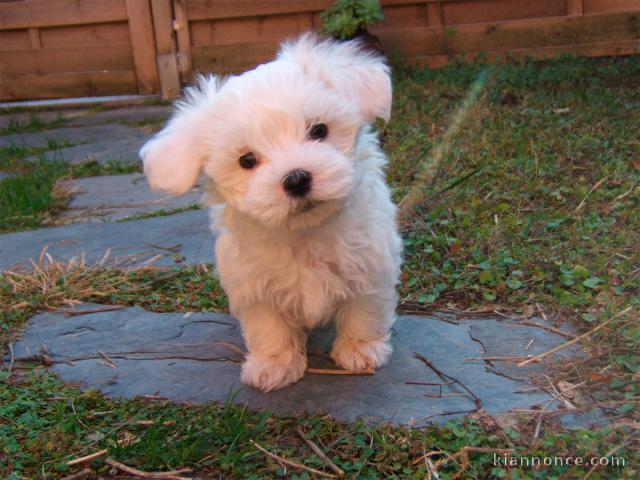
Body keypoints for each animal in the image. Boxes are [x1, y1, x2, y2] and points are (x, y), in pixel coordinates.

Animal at [141, 34, 400, 394]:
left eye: (318, 130)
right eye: (247, 160)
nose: (296, 178)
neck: (304, 233)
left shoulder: (371, 263)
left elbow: (364, 309)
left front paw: (361, 349)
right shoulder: (253, 284)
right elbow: (268, 326)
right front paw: (273, 365)